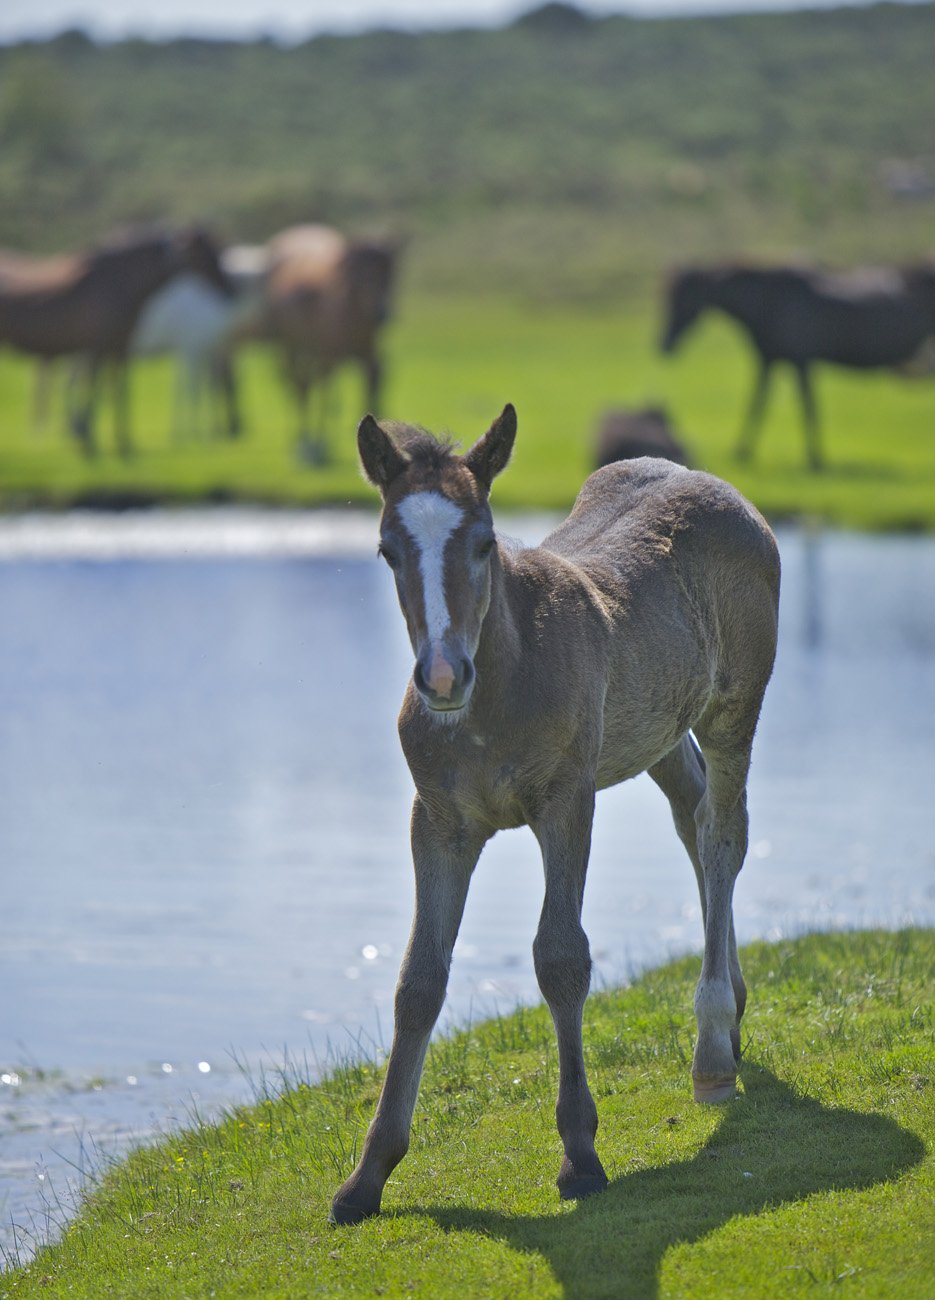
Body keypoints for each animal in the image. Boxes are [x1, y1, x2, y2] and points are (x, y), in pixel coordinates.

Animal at [0, 227, 232, 457]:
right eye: (206, 252)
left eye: (218, 249)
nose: (229, 287)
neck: (119, 282)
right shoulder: (97, 347)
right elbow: (95, 387)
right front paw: (89, 441)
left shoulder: (120, 347)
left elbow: (119, 390)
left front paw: (122, 441)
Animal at [257, 226, 400, 465]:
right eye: (360, 276)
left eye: (390, 272)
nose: (381, 313)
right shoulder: (328, 355)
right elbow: (324, 392)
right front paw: (319, 445)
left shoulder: (367, 354)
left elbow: (370, 383)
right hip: (291, 347)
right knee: (301, 386)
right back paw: (303, 440)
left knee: (307, 384)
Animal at [331, 400, 780, 1222]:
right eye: (386, 550)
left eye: (483, 542)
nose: (441, 674)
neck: (495, 692)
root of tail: (720, 487)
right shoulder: (437, 821)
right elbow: (418, 981)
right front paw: (366, 1176)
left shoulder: (568, 801)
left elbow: (560, 957)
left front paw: (579, 1153)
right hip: (654, 731)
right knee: (693, 817)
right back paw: (731, 1012)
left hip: (734, 707)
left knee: (723, 835)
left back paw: (711, 1048)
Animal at [658, 261, 935, 470]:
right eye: (668, 297)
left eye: (682, 298)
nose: (663, 344)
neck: (766, 300)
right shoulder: (769, 360)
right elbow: (758, 403)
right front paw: (743, 451)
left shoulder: (800, 361)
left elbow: (807, 406)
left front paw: (816, 459)